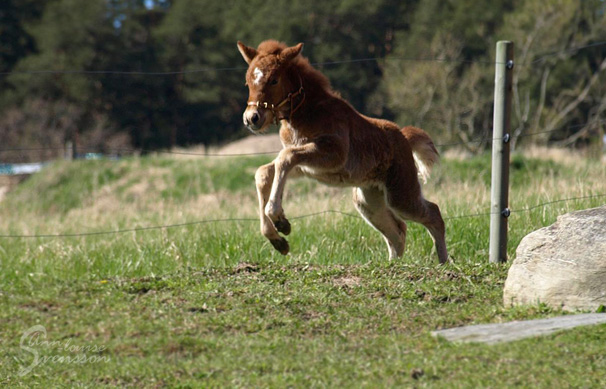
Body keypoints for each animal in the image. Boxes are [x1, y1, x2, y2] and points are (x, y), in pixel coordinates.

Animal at [240, 40, 448, 264]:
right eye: (248, 82)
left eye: (274, 80)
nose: (252, 118)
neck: (307, 113)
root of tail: (404, 137)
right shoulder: (306, 167)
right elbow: (264, 171)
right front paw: (277, 238)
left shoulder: (333, 154)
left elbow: (284, 158)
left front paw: (279, 219)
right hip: (368, 200)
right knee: (397, 231)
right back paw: (393, 264)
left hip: (400, 195)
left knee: (433, 213)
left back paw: (444, 262)